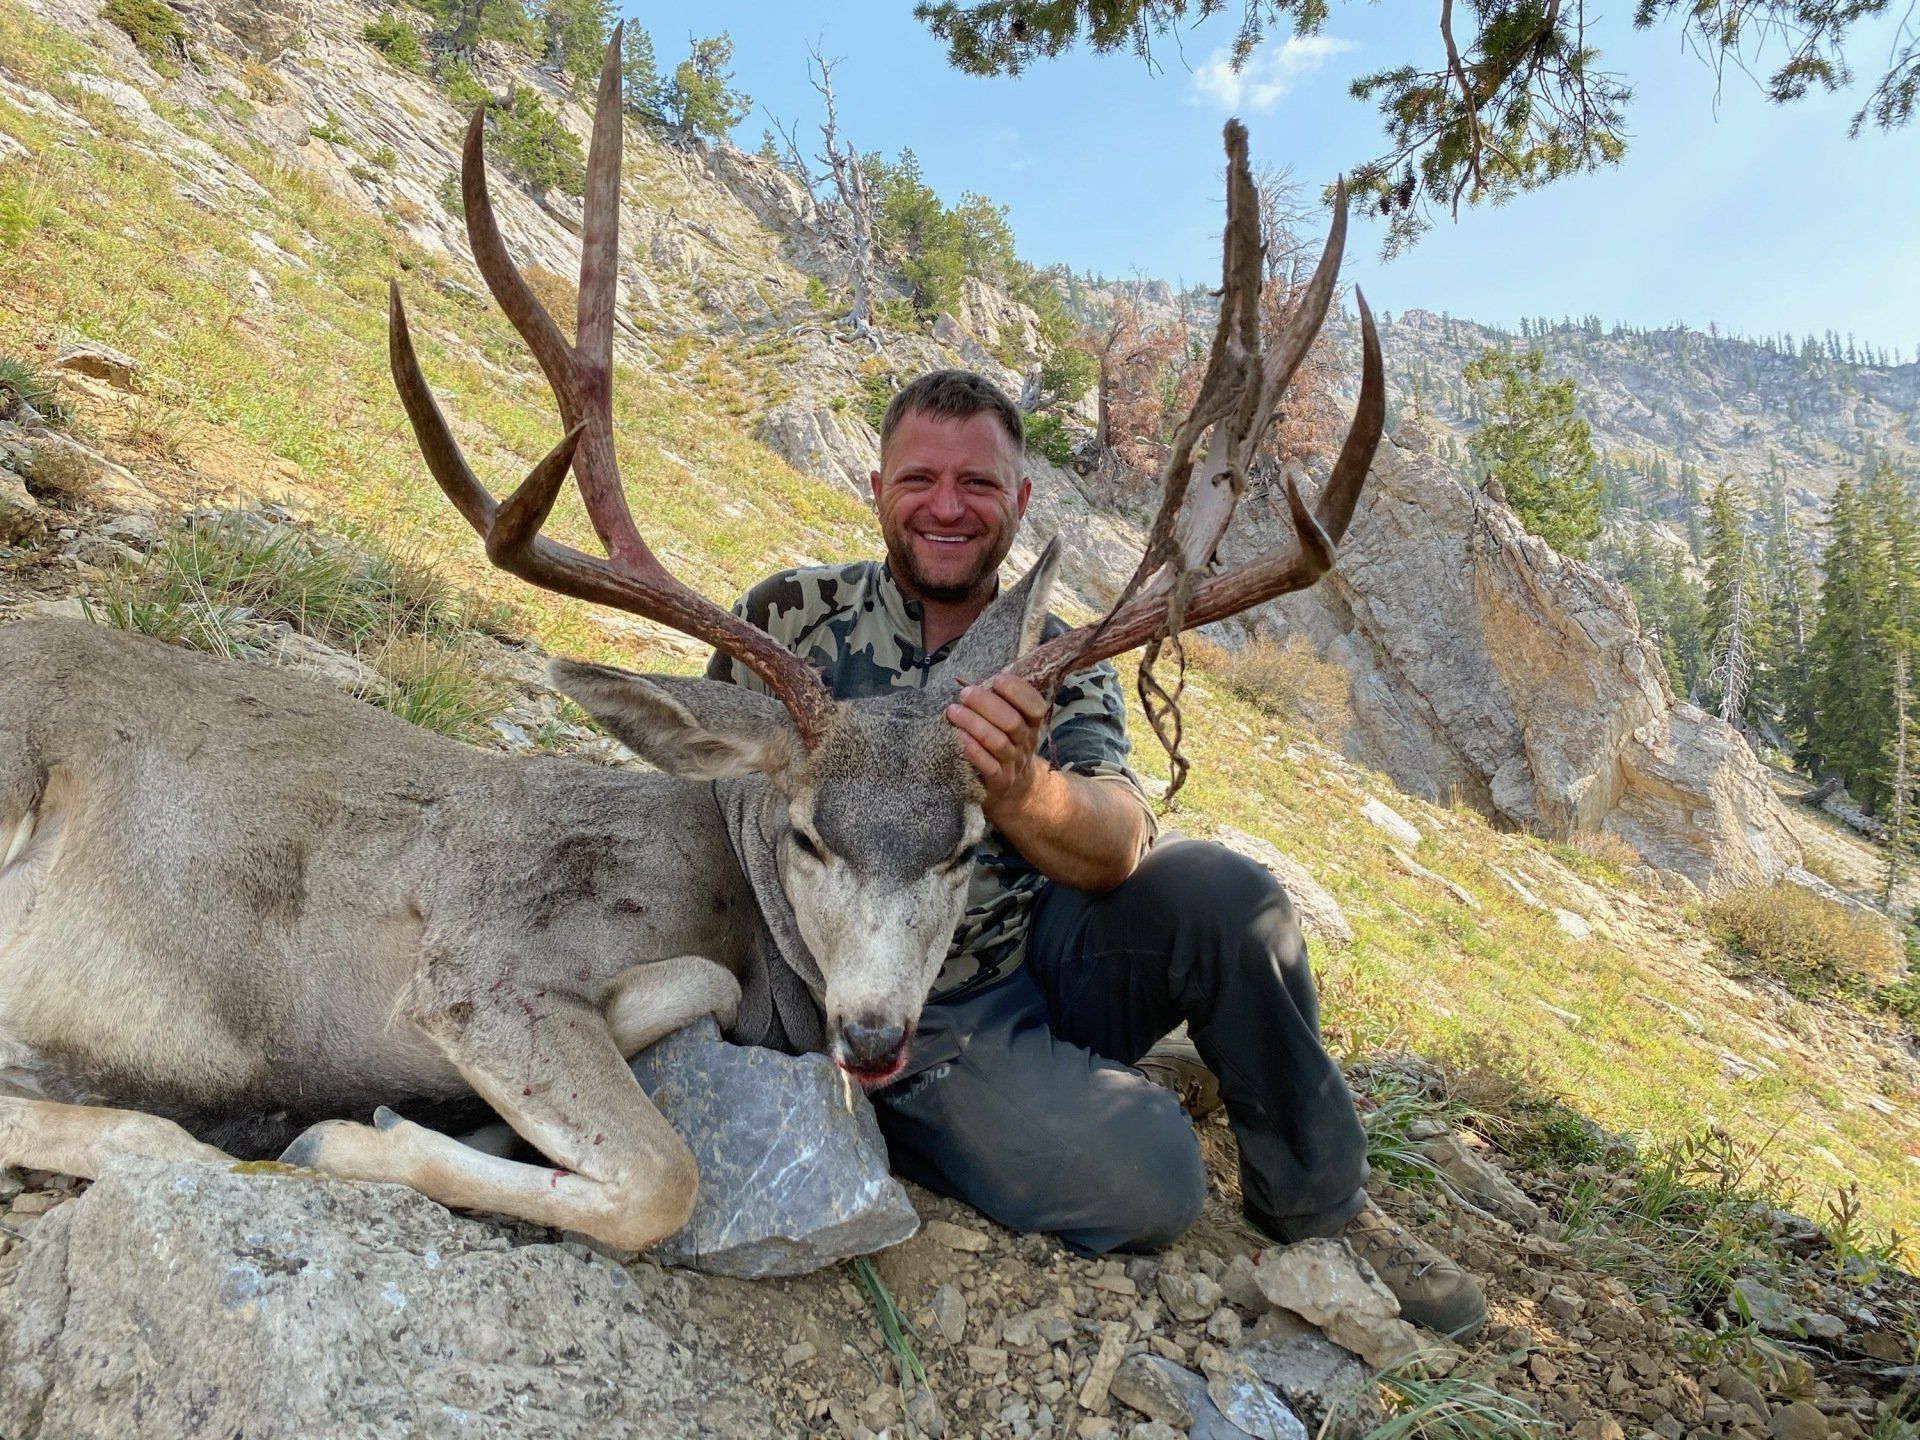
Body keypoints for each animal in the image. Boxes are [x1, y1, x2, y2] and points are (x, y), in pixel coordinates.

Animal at [0, 33, 1383, 1253]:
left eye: (966, 850)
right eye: (811, 833)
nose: (874, 1038)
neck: (724, 889)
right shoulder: (479, 963)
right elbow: (661, 1181)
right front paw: (349, 1135)